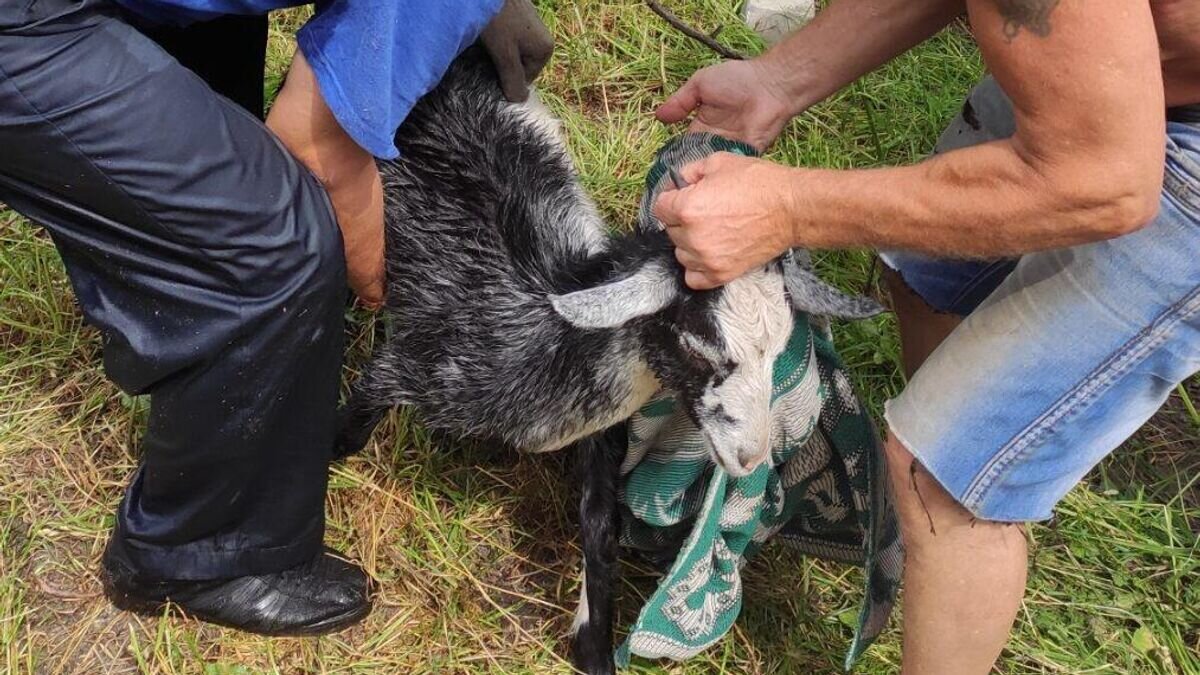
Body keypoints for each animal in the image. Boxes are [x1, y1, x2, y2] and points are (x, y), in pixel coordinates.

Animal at [338, 47, 801, 672]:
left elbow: (601, 527)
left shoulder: (601, 436)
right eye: (699, 344)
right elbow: (346, 435)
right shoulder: (407, 364)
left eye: (779, 349)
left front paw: (592, 644)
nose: (752, 458)